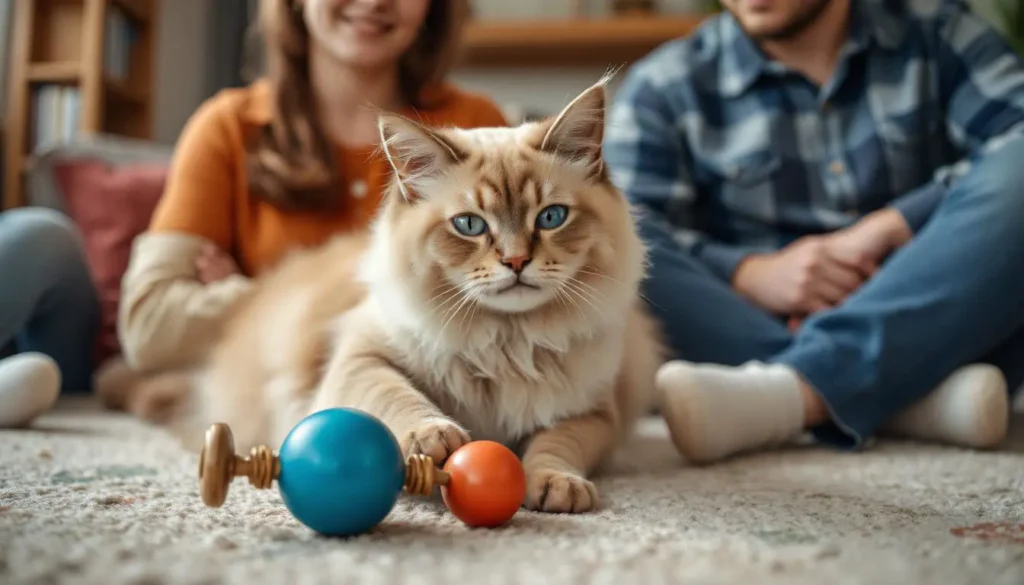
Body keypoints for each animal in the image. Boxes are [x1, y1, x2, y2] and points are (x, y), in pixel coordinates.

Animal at [123, 77, 663, 512]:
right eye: (470, 225)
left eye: (551, 217)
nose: (515, 262)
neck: (505, 342)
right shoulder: (359, 359)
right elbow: (397, 395)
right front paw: (432, 436)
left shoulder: (595, 413)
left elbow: (557, 446)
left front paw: (555, 484)